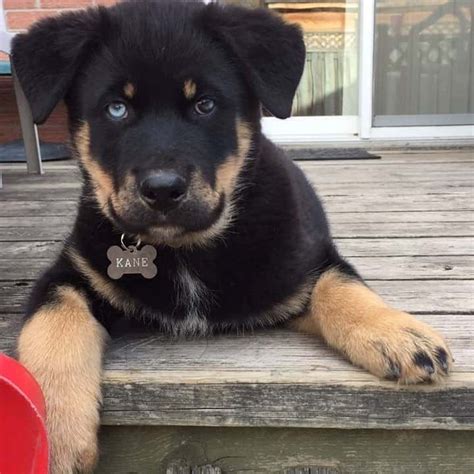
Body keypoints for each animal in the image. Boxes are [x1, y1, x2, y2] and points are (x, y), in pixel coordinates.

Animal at [12, 1, 452, 472]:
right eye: (116, 109)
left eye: (205, 104)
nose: (162, 189)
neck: (185, 250)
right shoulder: (71, 271)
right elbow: (53, 321)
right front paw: (52, 434)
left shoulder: (304, 267)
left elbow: (340, 285)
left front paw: (397, 333)